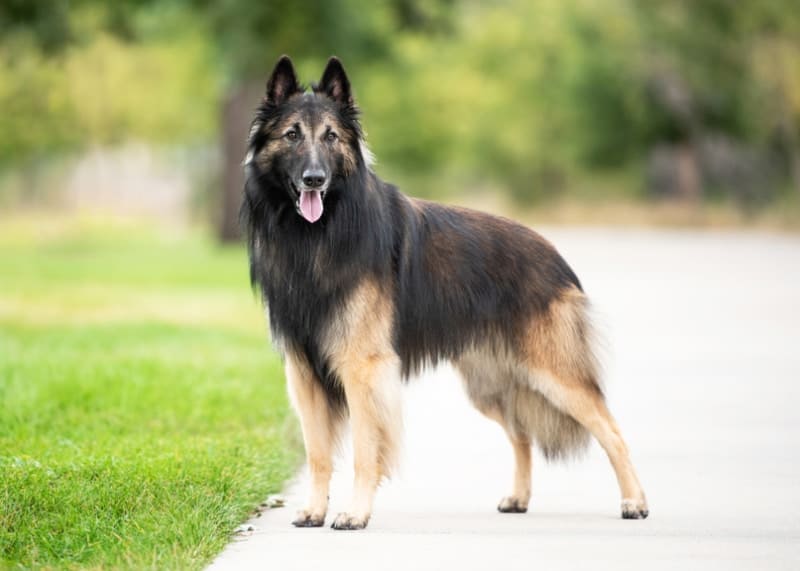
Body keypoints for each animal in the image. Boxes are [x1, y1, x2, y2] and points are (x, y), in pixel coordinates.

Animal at [241, 55, 648, 528]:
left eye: (331, 137)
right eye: (292, 135)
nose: (314, 179)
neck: (319, 236)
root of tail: (556, 258)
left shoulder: (362, 369)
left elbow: (364, 450)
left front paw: (355, 514)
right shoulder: (303, 371)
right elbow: (318, 454)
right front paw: (313, 510)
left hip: (555, 376)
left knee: (611, 429)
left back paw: (635, 502)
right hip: (490, 384)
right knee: (522, 433)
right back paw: (518, 497)